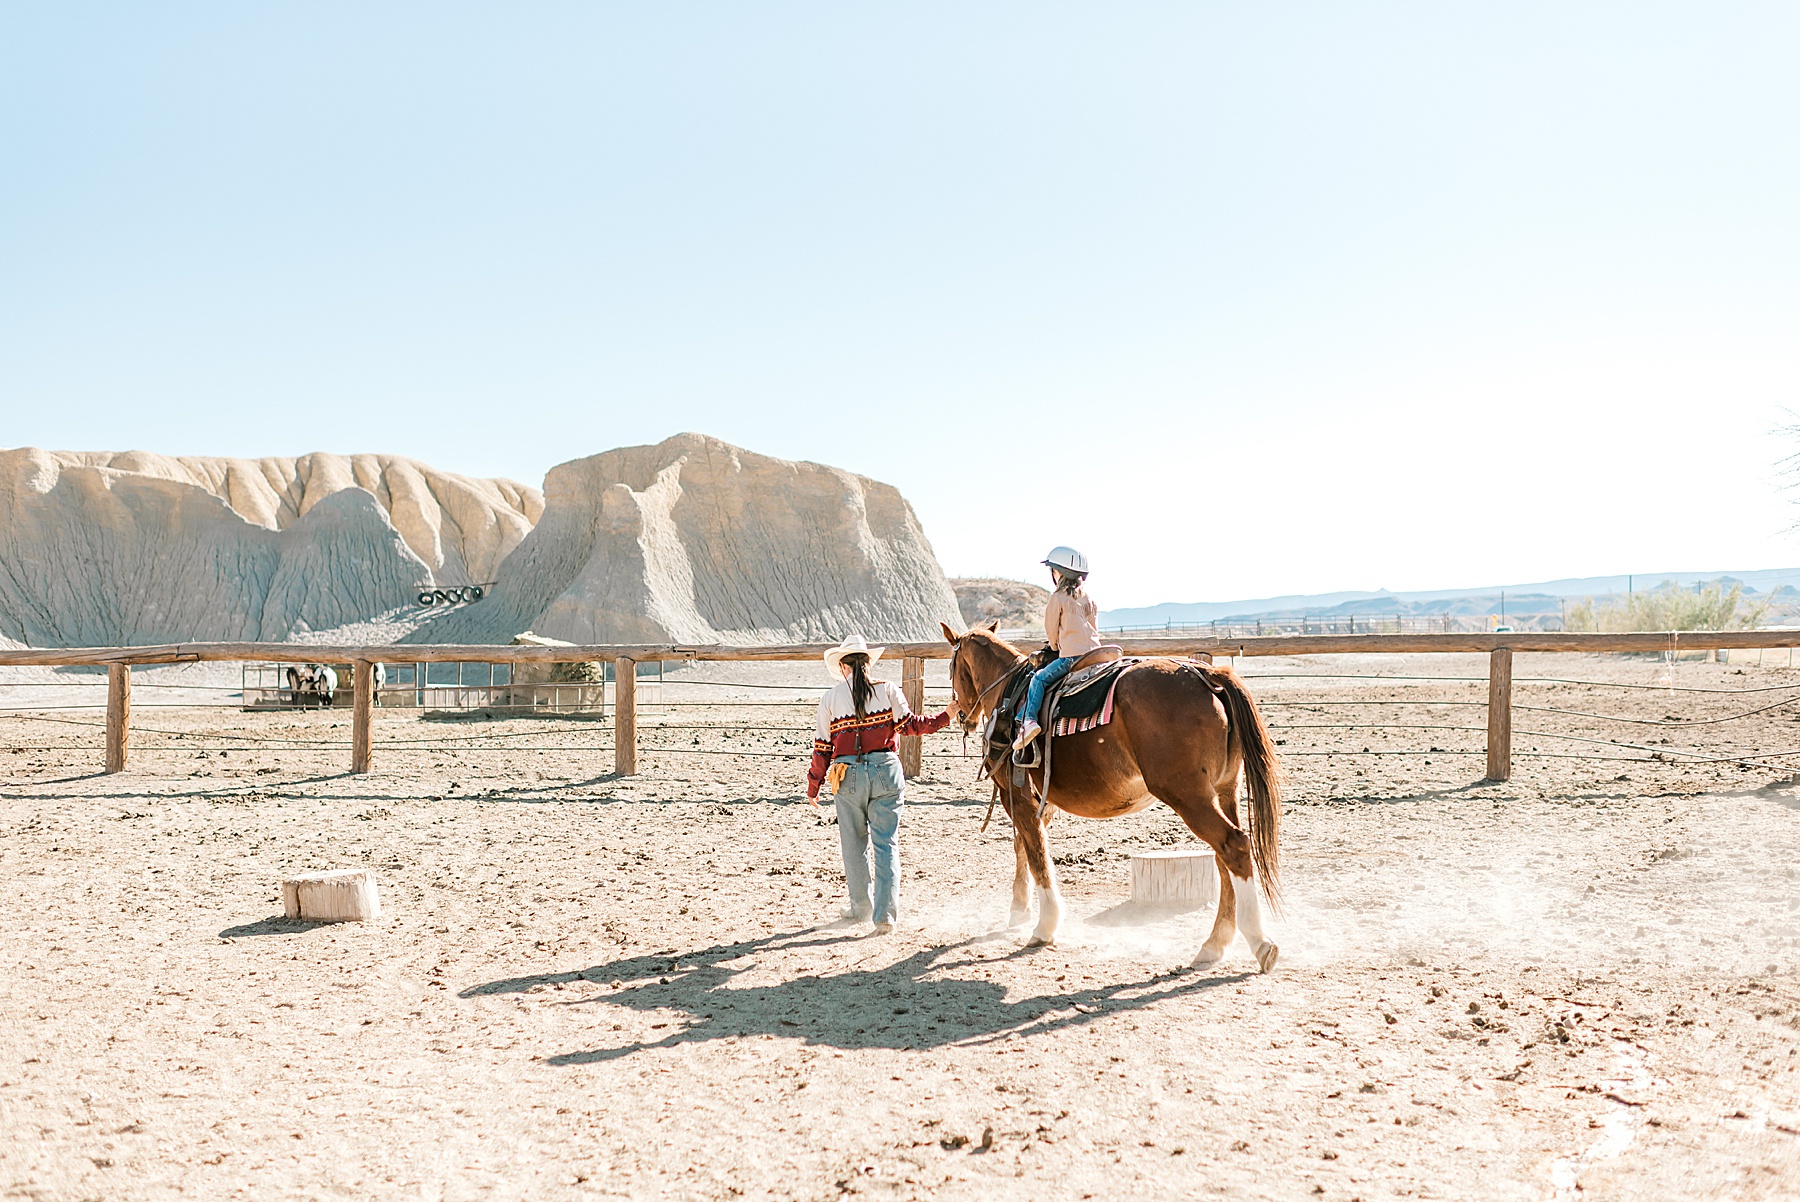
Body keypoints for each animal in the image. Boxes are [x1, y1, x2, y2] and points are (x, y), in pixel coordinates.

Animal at [941, 622, 1284, 973]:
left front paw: (1044, 927)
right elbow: (1025, 846)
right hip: (1224, 791)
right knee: (1223, 856)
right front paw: (1019, 911)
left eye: (952, 667)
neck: (1010, 693)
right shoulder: (1039, 803)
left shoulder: (1018, 797)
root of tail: (1206, 674)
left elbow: (1036, 853)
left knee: (1234, 846)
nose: (963, 716)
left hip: (1189, 796)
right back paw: (1215, 944)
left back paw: (1260, 942)